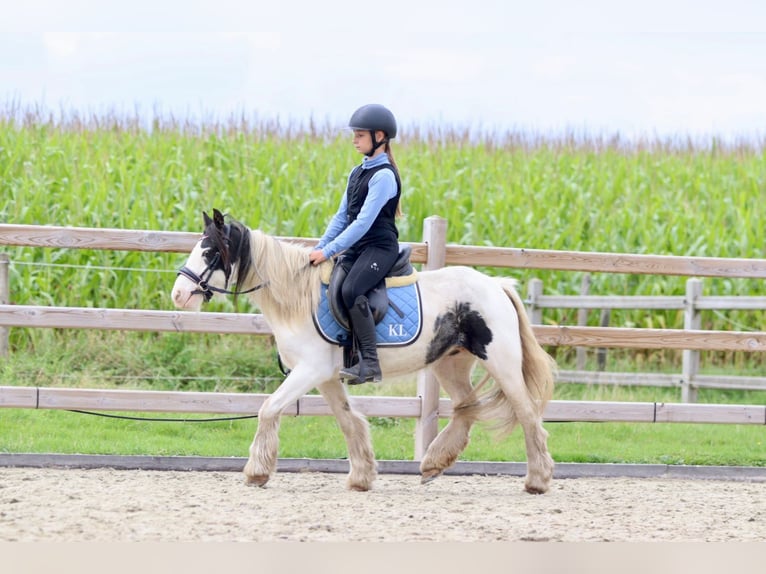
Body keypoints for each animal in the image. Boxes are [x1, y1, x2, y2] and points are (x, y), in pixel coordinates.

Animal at [172, 210, 560, 496]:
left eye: (209, 252)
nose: (178, 294)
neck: (298, 298)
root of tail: (497, 285)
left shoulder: (310, 371)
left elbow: (269, 408)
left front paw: (257, 471)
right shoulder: (325, 377)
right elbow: (349, 421)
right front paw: (361, 477)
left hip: (501, 362)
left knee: (528, 415)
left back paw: (537, 481)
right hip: (450, 364)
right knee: (468, 407)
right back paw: (433, 463)